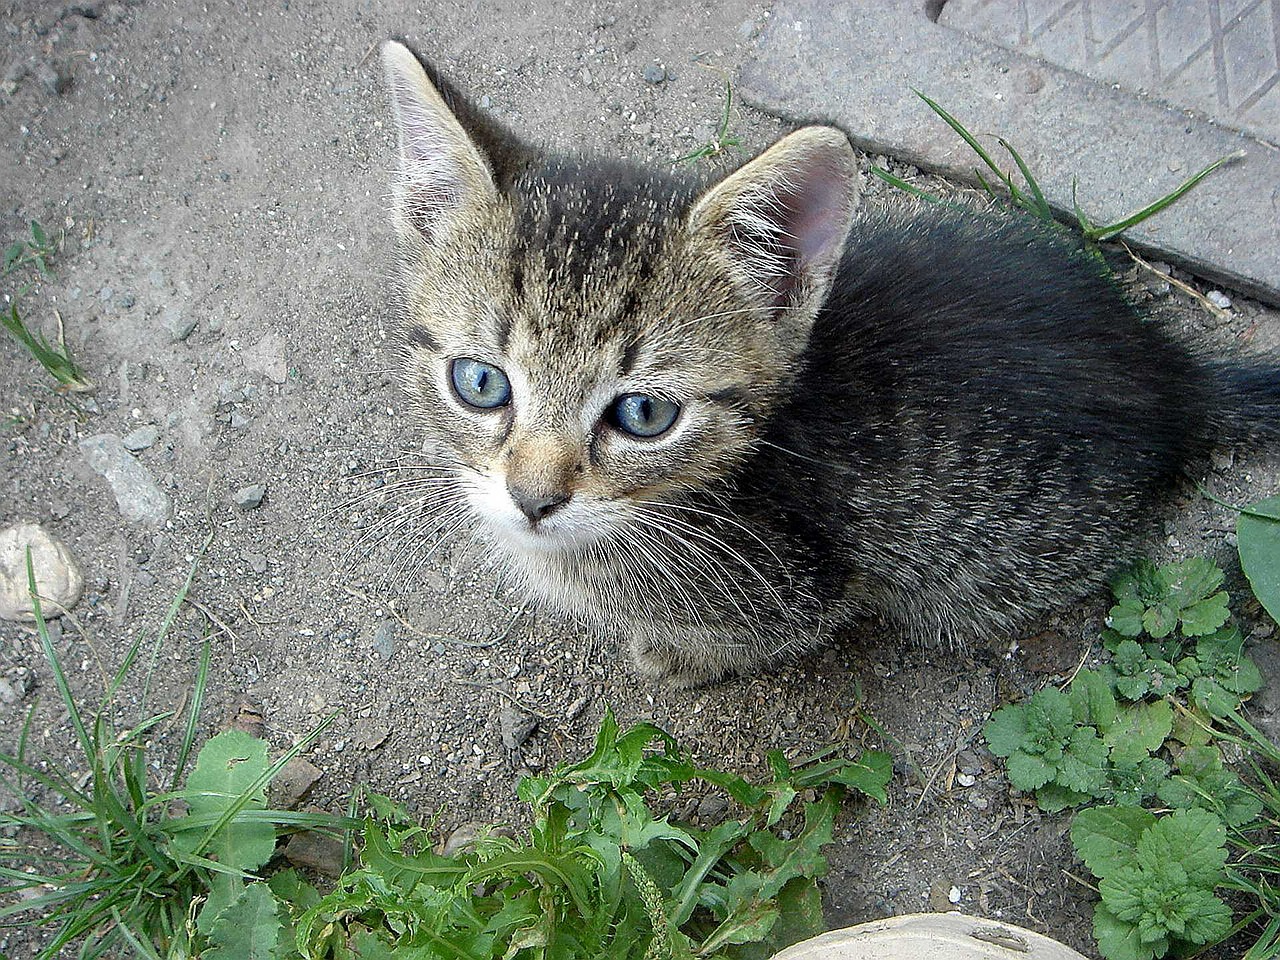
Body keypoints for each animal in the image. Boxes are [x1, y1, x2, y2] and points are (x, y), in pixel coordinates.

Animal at [378, 43, 1280, 691]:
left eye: (644, 416)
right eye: (481, 383)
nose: (532, 501)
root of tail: (1171, 371)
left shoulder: (805, 584)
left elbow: (776, 633)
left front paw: (679, 657)